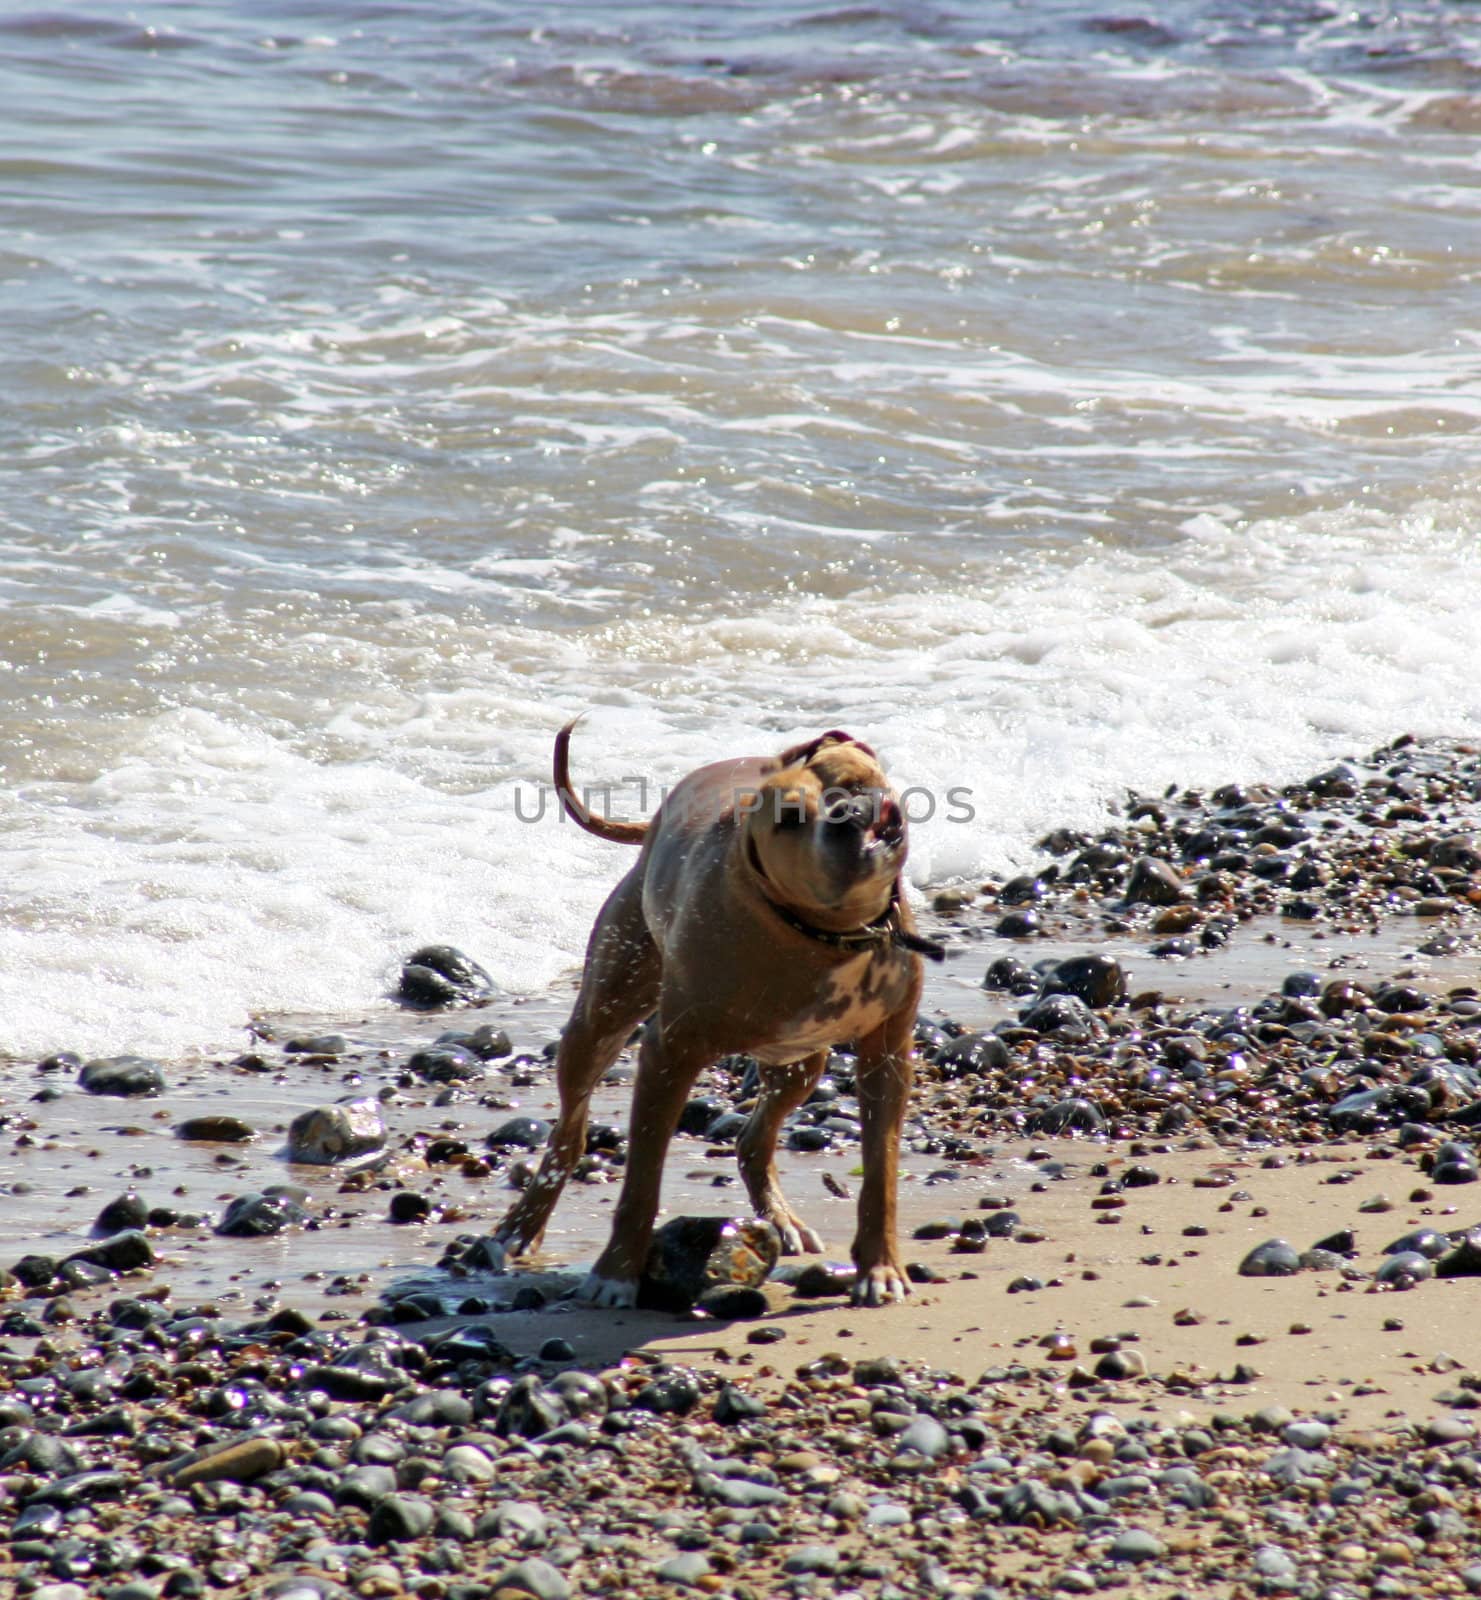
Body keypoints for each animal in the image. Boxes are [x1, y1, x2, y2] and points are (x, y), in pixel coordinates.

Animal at [492, 720, 946, 1305]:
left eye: (853, 780)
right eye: (790, 819)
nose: (848, 811)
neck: (830, 932)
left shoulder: (887, 1057)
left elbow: (881, 1173)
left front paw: (880, 1266)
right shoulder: (668, 1055)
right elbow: (641, 1182)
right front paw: (616, 1271)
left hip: (800, 1063)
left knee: (755, 1138)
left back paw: (780, 1218)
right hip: (601, 1013)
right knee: (567, 1136)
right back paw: (521, 1226)